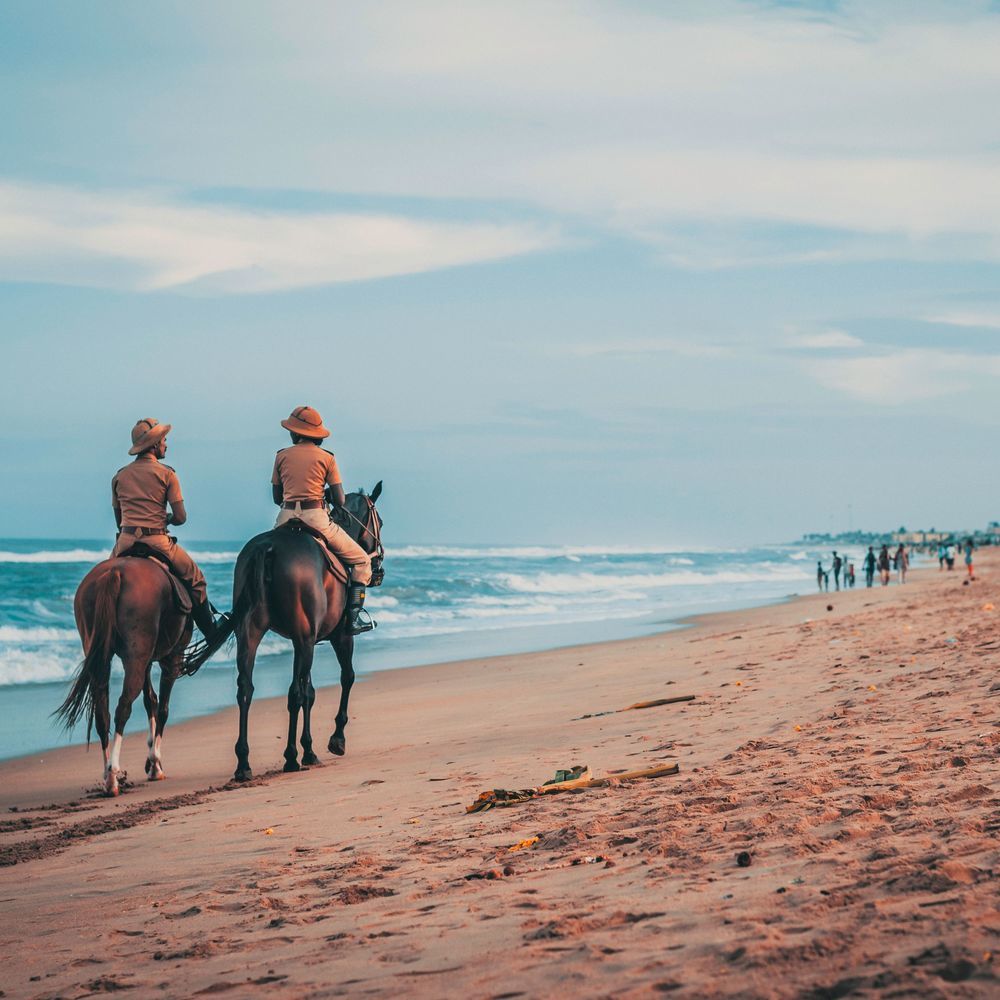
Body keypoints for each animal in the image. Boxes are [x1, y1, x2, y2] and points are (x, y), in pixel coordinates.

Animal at [56, 556, 193, 796]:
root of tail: (115, 572)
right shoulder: (171, 658)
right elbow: (163, 708)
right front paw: (155, 763)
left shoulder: (146, 661)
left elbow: (151, 701)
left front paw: (152, 761)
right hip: (138, 659)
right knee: (123, 707)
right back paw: (113, 774)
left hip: (104, 659)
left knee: (102, 714)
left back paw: (107, 775)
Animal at [184, 482, 382, 780]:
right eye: (379, 521)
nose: (379, 569)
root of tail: (267, 548)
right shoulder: (338, 637)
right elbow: (345, 678)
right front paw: (334, 740)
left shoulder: (307, 641)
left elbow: (310, 691)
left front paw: (309, 748)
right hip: (304, 640)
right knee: (294, 693)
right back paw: (290, 757)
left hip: (252, 633)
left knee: (246, 689)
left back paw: (244, 763)